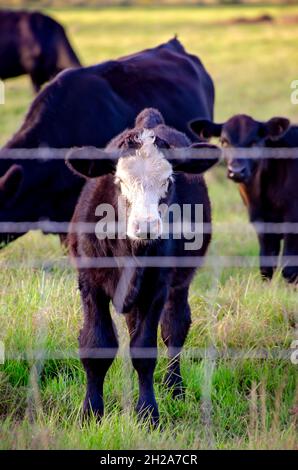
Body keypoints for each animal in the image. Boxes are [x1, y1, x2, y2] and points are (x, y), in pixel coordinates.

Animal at [66, 108, 218, 424]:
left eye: (168, 181)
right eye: (120, 181)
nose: (146, 225)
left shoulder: (157, 287)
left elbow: (144, 349)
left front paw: (148, 412)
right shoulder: (89, 282)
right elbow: (96, 344)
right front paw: (91, 411)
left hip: (179, 283)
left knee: (175, 327)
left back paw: (175, 386)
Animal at [190, 114, 296, 282]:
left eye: (254, 142)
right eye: (224, 141)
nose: (237, 171)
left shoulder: (292, 220)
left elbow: (289, 270)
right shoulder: (261, 223)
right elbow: (266, 267)